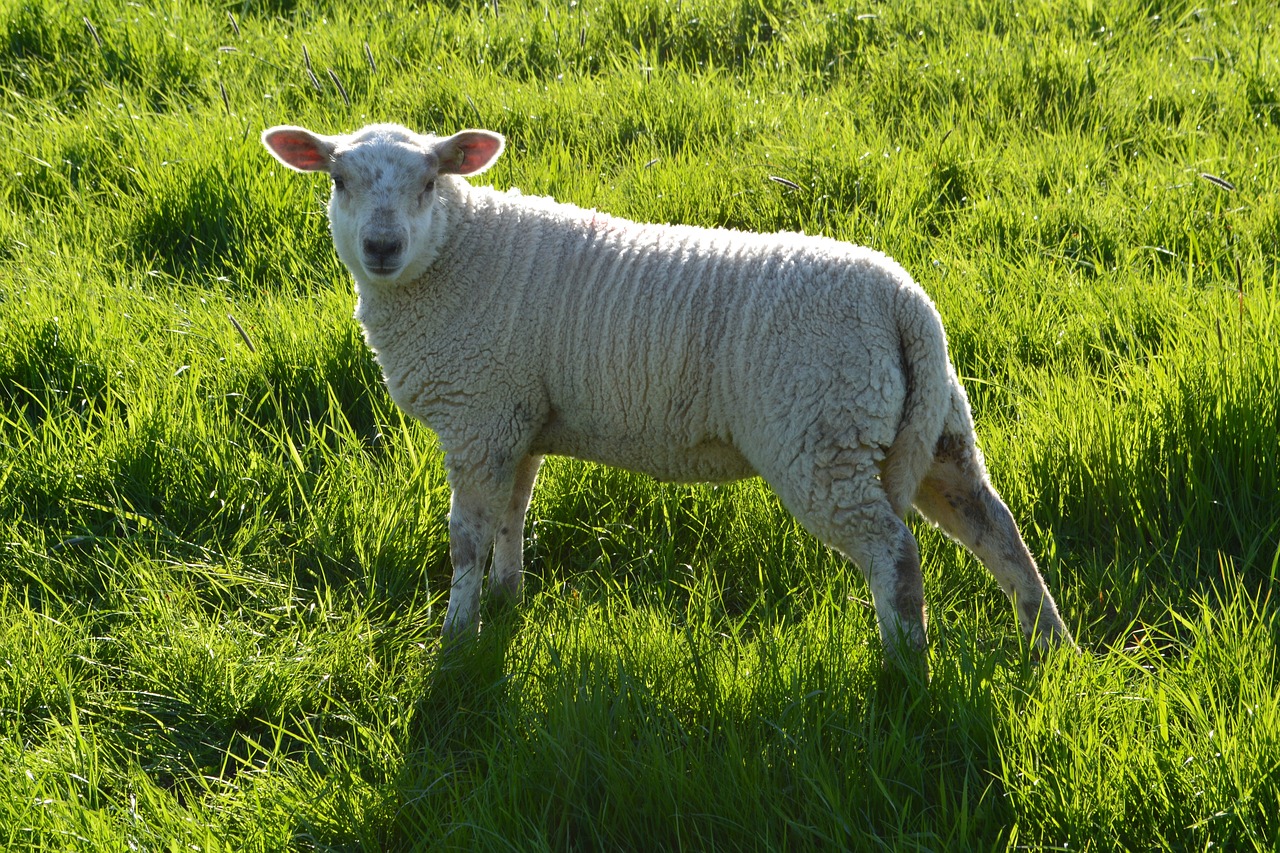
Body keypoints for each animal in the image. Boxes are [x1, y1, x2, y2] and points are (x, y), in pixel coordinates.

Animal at [262, 121, 1080, 666]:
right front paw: (506, 600)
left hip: (820, 435)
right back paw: (1051, 647)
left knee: (895, 554)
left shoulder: (478, 415)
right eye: (337, 180)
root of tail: (905, 304)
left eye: (430, 182)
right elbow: (511, 518)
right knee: (997, 530)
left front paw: (457, 637)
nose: (381, 247)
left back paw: (904, 669)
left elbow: (466, 535)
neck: (454, 258)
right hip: (930, 426)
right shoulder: (515, 419)